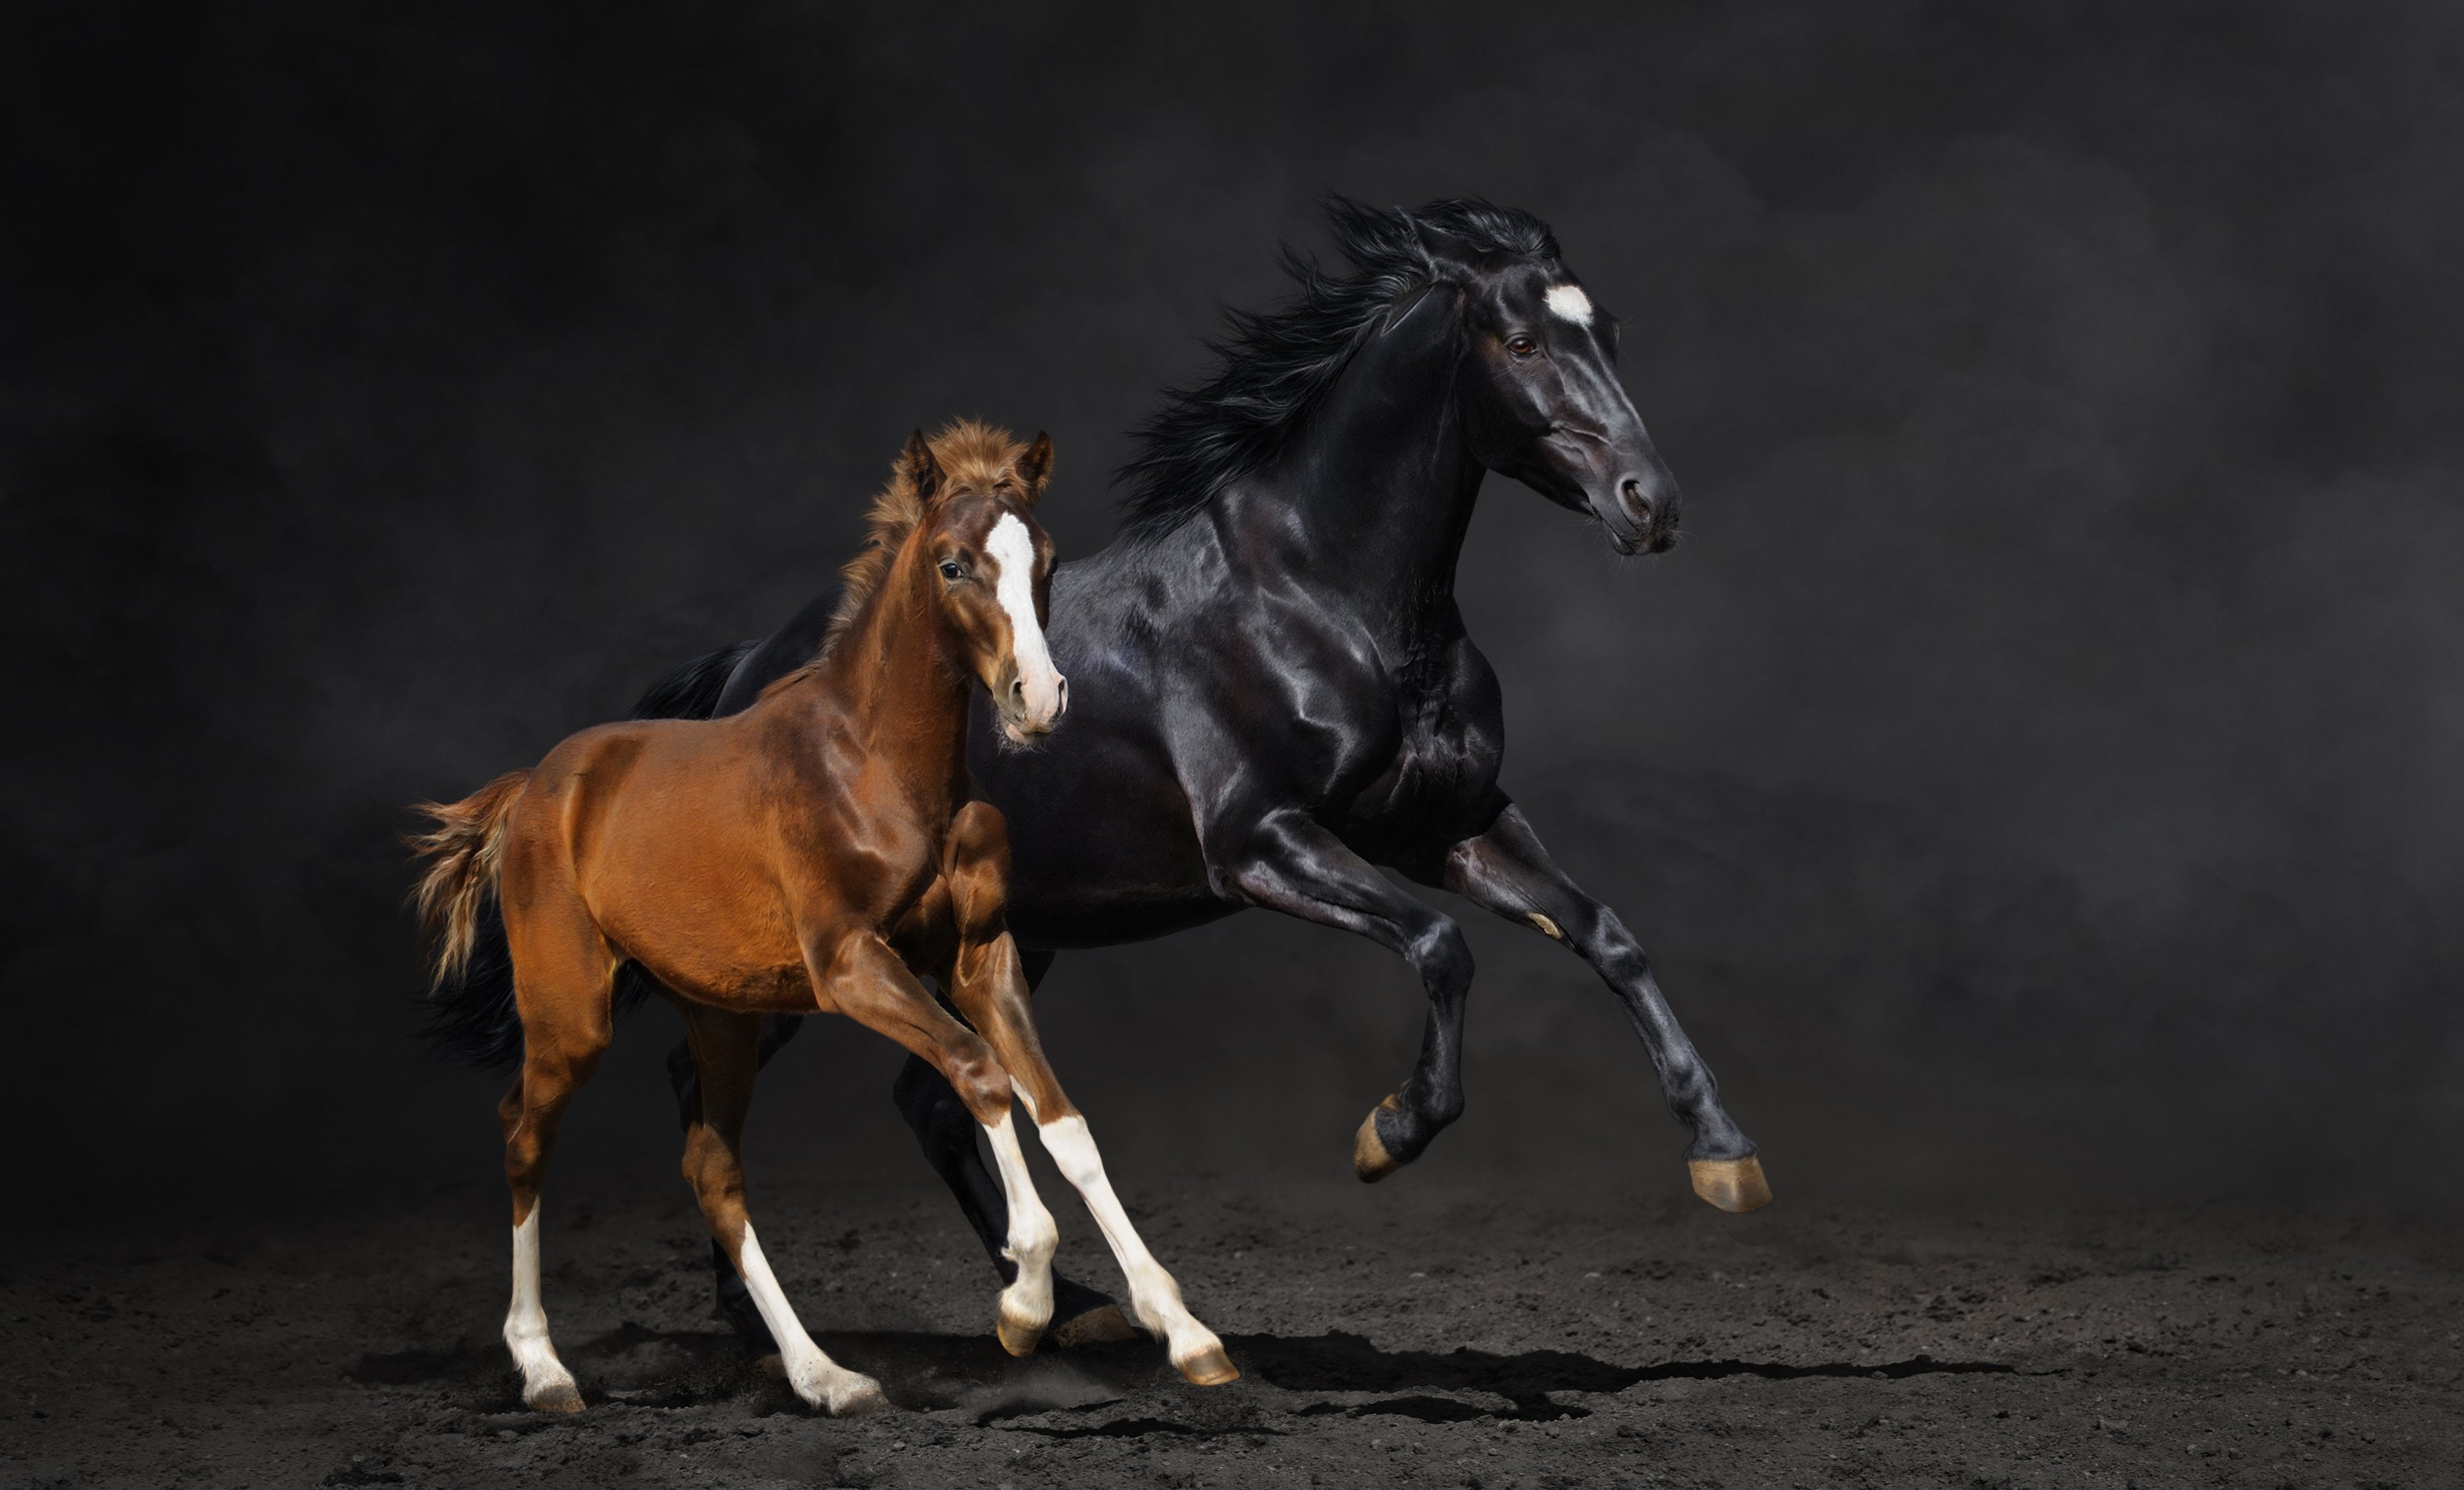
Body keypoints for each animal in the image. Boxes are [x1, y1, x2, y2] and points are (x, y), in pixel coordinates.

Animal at [408, 423, 1236, 1414]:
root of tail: (534, 784)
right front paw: (1025, 1301)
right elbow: (980, 1073)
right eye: (953, 564)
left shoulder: (978, 957)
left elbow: (1062, 1119)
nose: (1036, 699)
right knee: (525, 1135)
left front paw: (1184, 1330)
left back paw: (825, 1375)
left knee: (712, 1167)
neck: (877, 767)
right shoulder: (850, 965)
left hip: (721, 1015)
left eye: (1046, 560)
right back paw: (542, 1367)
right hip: (572, 1012)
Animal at [450, 197, 1771, 1345]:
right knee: (705, 1080)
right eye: (1520, 340)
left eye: (1608, 331)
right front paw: (1388, 1132)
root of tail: (742, 678)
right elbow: (1442, 949)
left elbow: (1605, 935)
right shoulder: (1263, 844)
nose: (1649, 504)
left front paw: (1723, 1155)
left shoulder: (1448, 824)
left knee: (927, 1099)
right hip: (791, 950)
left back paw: (1062, 1304)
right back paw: (757, 1317)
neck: (1322, 596)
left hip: (1006, 935)